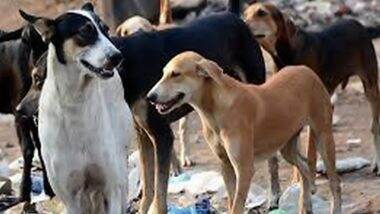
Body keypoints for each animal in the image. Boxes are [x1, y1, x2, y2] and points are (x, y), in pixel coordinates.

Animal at [20, 3, 135, 212]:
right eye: (84, 32)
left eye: (106, 30)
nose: (117, 56)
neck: (76, 101)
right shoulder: (70, 197)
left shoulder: (111, 189)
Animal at [148, 51, 342, 214]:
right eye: (163, 73)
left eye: (176, 74)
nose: (150, 97)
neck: (215, 108)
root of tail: (306, 70)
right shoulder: (226, 165)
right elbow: (231, 201)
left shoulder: (244, 168)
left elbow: (237, 206)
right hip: (287, 147)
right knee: (304, 167)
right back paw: (306, 202)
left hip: (324, 138)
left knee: (335, 183)